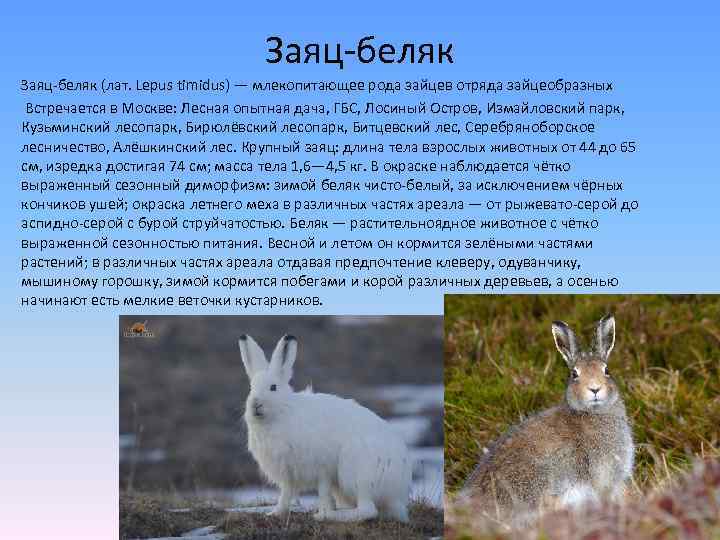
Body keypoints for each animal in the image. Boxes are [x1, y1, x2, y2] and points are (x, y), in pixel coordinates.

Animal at [239, 334, 412, 522]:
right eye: (251, 388)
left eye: (273, 387)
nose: (255, 404)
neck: (283, 411)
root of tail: (399, 490)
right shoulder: (288, 473)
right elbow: (285, 494)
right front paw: (275, 513)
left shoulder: (322, 468)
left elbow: (322, 492)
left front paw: (323, 513)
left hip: (357, 472)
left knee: (368, 510)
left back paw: (332, 515)